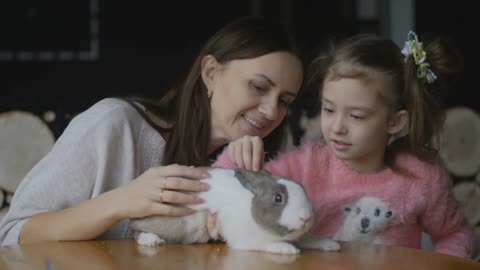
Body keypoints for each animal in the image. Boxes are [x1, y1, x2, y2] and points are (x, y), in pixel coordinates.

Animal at [129, 168, 340, 254]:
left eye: (303, 188)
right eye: (278, 198)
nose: (306, 217)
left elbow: (311, 240)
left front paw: (331, 244)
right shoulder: (247, 239)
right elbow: (266, 244)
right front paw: (287, 249)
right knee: (138, 232)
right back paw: (153, 241)